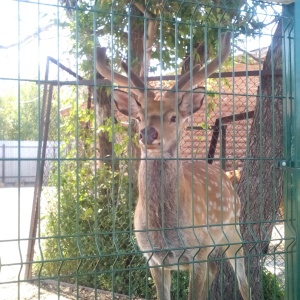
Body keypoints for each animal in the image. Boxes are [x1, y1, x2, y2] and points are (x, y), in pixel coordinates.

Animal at [96, 31, 251, 298]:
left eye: (174, 117)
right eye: (139, 117)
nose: (148, 133)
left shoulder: (198, 251)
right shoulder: (153, 258)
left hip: (232, 229)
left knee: (244, 279)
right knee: (214, 271)